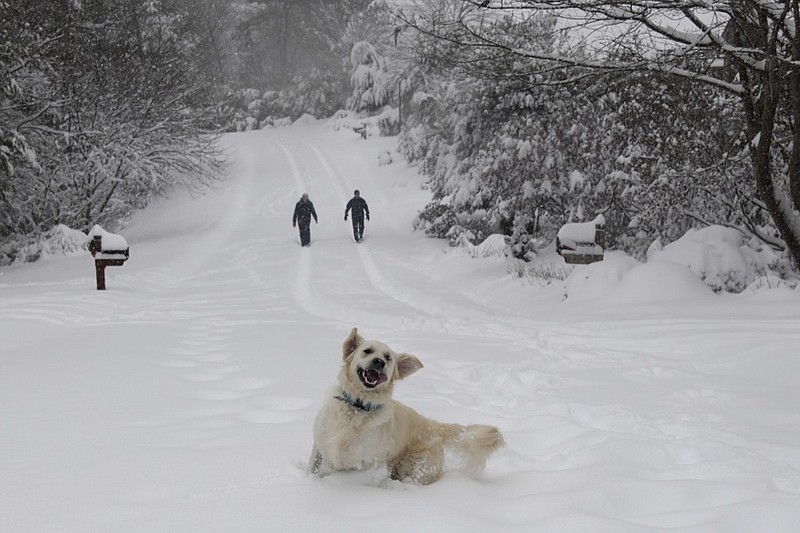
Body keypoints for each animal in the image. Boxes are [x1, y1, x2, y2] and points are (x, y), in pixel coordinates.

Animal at [308, 326, 504, 484]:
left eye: (388, 358)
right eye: (367, 351)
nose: (379, 362)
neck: (357, 408)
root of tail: (432, 425)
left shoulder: (366, 462)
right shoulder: (320, 446)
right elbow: (313, 467)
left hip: (416, 467)